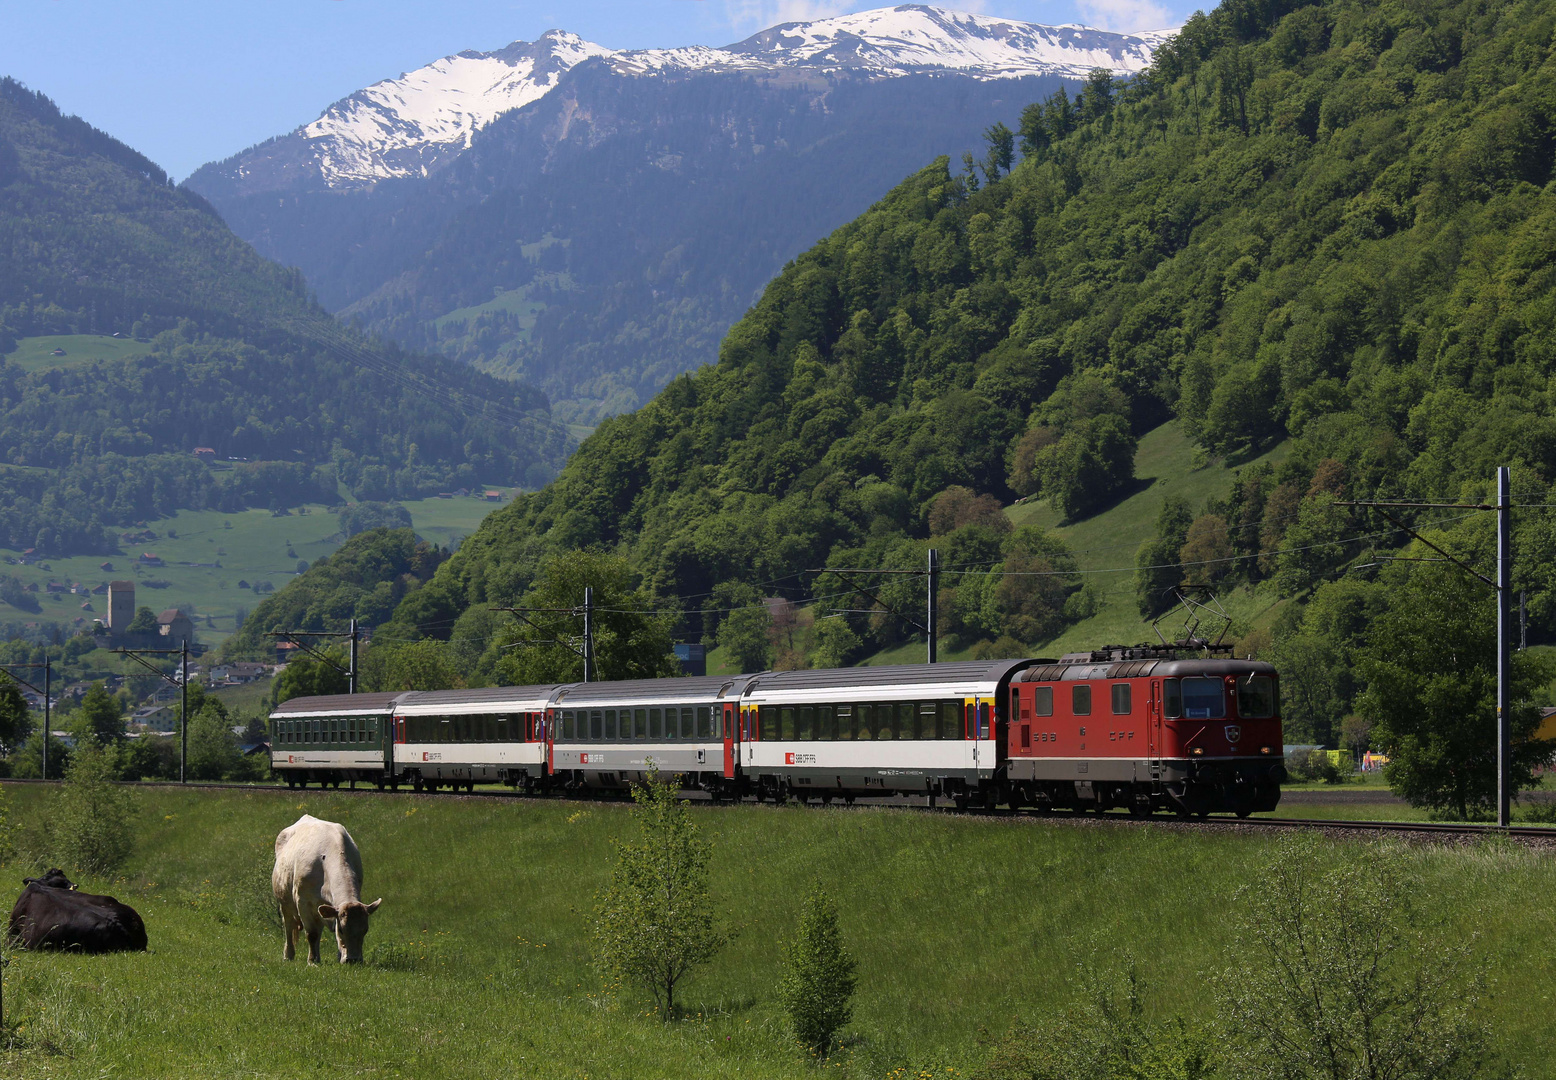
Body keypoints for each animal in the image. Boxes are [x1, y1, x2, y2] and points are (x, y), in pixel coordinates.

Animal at [272, 815, 384, 971]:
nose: (353, 960)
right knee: (288, 925)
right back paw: (288, 955)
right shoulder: (303, 903)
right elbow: (312, 934)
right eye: (341, 930)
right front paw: (312, 961)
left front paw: (337, 957)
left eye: (365, 930)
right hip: (285, 902)